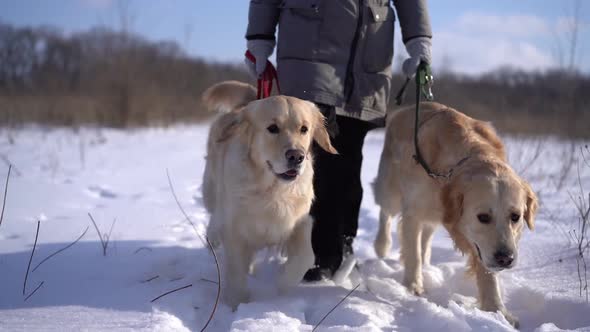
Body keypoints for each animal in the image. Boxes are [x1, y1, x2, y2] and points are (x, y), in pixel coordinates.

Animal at [201, 80, 338, 308]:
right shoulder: (235, 229)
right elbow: (236, 270)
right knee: (215, 214)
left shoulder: (298, 220)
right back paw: (213, 237)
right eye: (272, 128)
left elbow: (305, 257)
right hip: (212, 188)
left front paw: (283, 283)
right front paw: (236, 303)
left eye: (304, 129)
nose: (297, 156)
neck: (273, 190)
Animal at [376, 102, 540, 326]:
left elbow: (488, 274)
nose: (505, 259)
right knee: (386, 212)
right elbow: (412, 254)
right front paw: (412, 287)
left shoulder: (480, 245)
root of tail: (406, 109)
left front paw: (497, 311)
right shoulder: (413, 213)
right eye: (483, 217)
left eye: (515, 217)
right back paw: (382, 245)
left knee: (427, 233)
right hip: (390, 190)